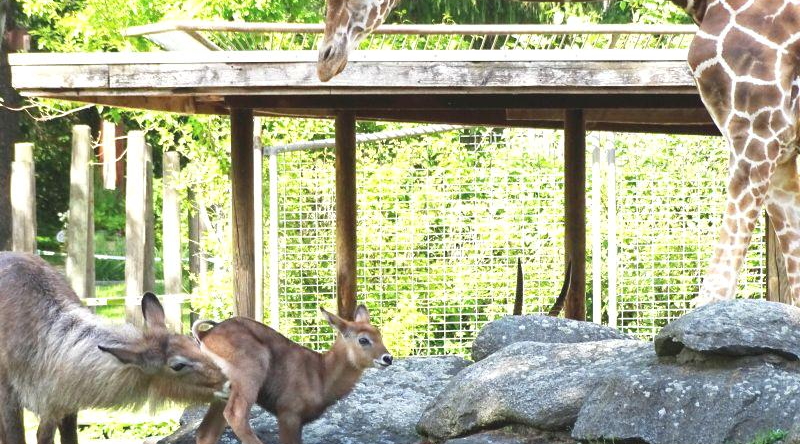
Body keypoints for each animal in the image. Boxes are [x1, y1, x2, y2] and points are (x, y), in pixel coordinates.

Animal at [194, 306, 394, 444]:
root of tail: (205, 335)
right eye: (363, 339)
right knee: (236, 415)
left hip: (223, 394)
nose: (388, 358)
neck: (321, 374)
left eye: (380, 335)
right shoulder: (288, 414)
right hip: (248, 375)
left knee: (205, 432)